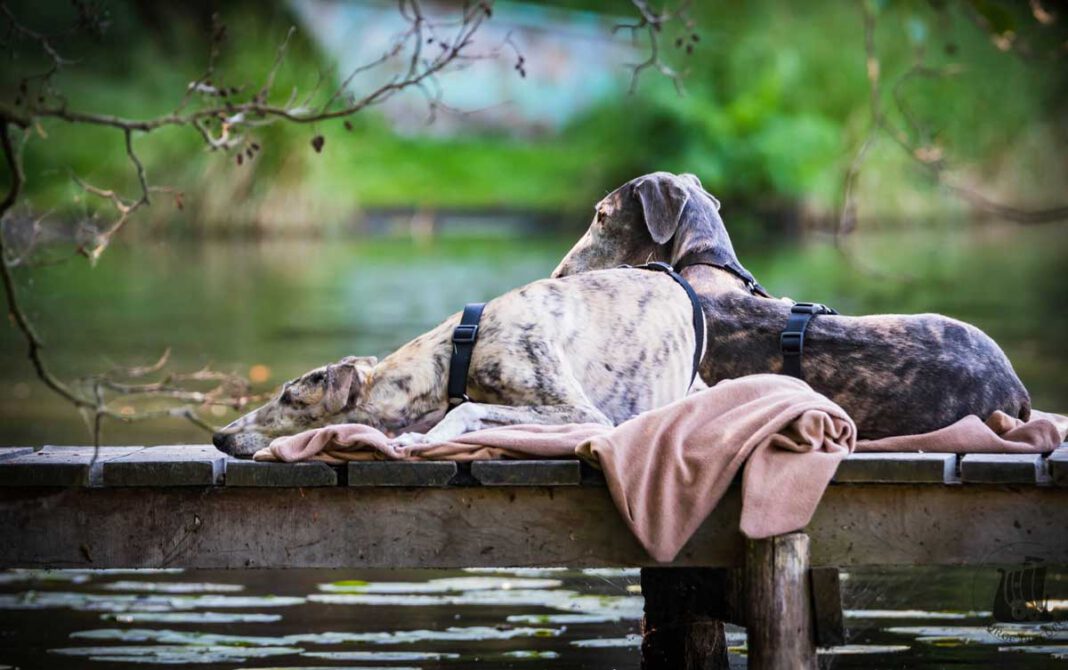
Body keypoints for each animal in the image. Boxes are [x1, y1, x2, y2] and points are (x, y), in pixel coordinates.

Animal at [212, 270, 704, 459]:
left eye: (289, 397)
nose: (218, 436)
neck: (460, 350)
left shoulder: (582, 412)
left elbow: (465, 408)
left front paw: (422, 438)